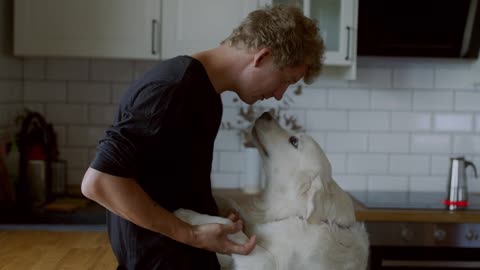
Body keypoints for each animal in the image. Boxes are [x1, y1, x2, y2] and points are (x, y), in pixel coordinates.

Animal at [174, 111, 370, 268]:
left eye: (294, 140)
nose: (265, 113)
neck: (294, 214)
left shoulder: (261, 262)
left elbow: (232, 228)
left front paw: (187, 214)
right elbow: (235, 210)